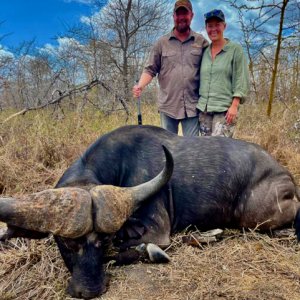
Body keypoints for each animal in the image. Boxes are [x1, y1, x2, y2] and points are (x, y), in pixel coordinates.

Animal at [0, 124, 300, 298]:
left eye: (103, 240)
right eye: (64, 242)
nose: (89, 291)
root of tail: (287, 179)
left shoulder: (157, 231)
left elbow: (127, 251)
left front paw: (150, 252)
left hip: (255, 217)